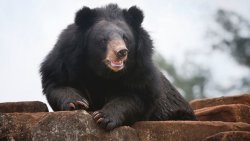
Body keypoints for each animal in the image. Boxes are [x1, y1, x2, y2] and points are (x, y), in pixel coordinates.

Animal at [40, 3, 196, 130]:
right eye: (104, 40)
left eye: (125, 38)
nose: (121, 52)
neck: (103, 73)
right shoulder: (64, 62)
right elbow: (58, 84)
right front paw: (77, 103)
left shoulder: (141, 72)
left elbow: (133, 97)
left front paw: (103, 117)